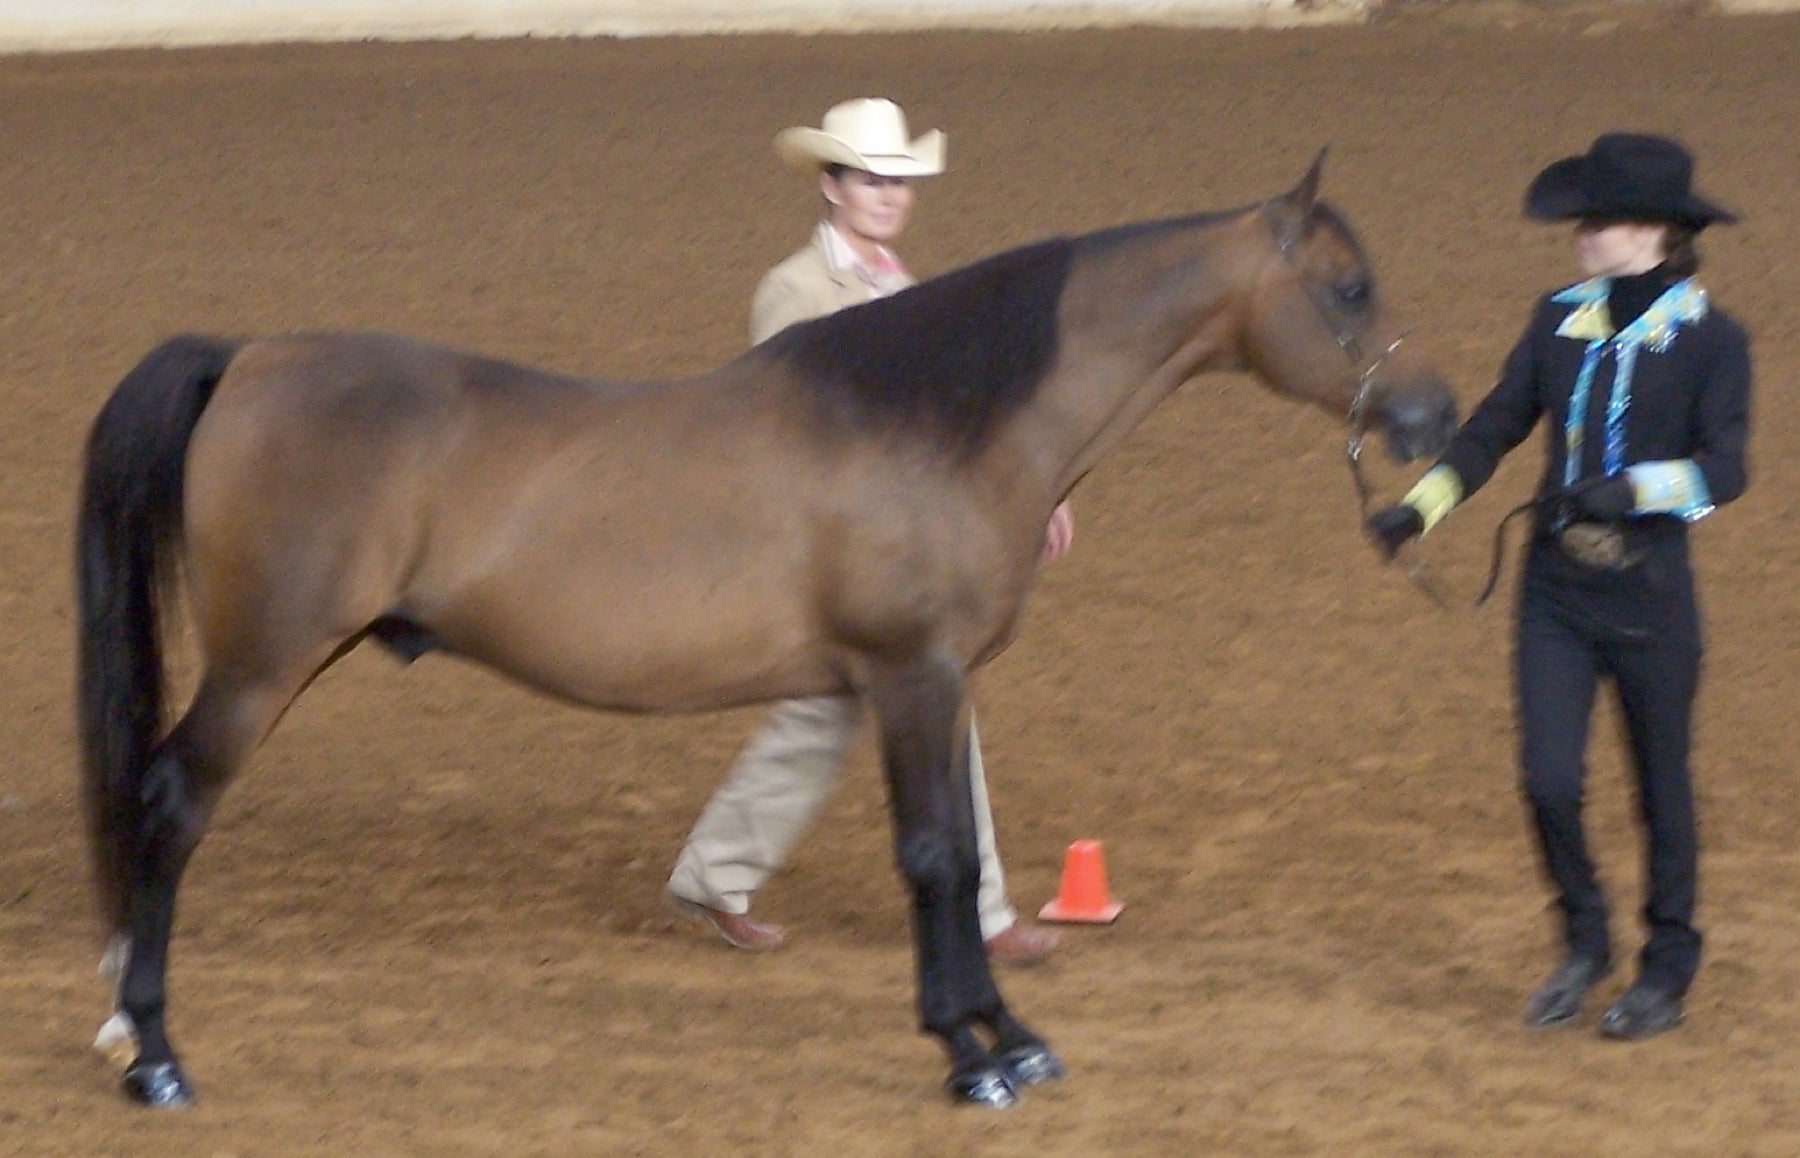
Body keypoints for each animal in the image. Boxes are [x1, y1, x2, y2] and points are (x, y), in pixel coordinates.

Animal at [76, 154, 1456, 1110]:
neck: (940, 416)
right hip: (260, 667)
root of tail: (250, 357)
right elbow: (934, 859)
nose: (1433, 413)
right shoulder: (909, 678)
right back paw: (155, 1055)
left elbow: (960, 848)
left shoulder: (935, 684)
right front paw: (970, 1057)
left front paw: (1008, 1038)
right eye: (1348, 287)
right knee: (169, 805)